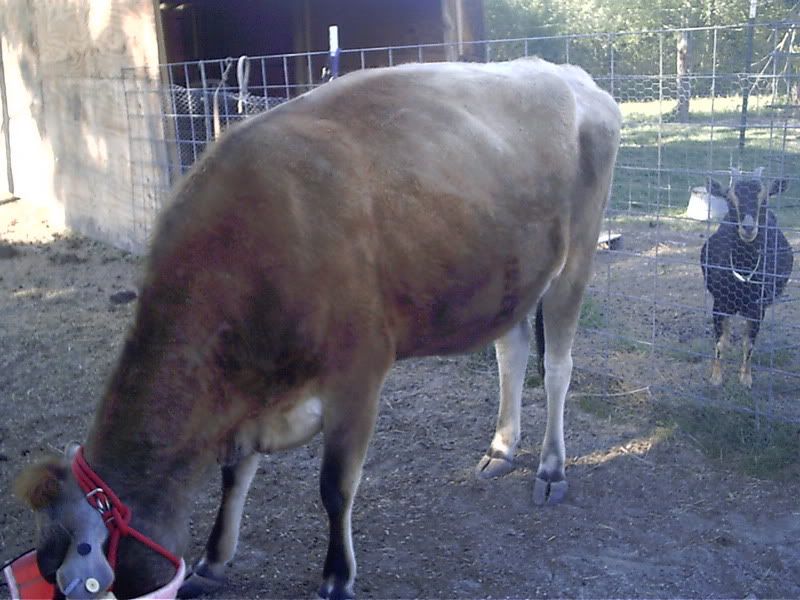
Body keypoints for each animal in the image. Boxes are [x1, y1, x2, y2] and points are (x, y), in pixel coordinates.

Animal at [15, 58, 621, 599]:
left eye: (73, 564)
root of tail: (570, 76)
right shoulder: (249, 395)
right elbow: (234, 476)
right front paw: (213, 560)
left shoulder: (358, 372)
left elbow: (335, 485)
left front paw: (336, 577)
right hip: (510, 278)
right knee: (511, 353)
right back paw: (501, 449)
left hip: (576, 259)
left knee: (558, 367)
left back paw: (551, 468)